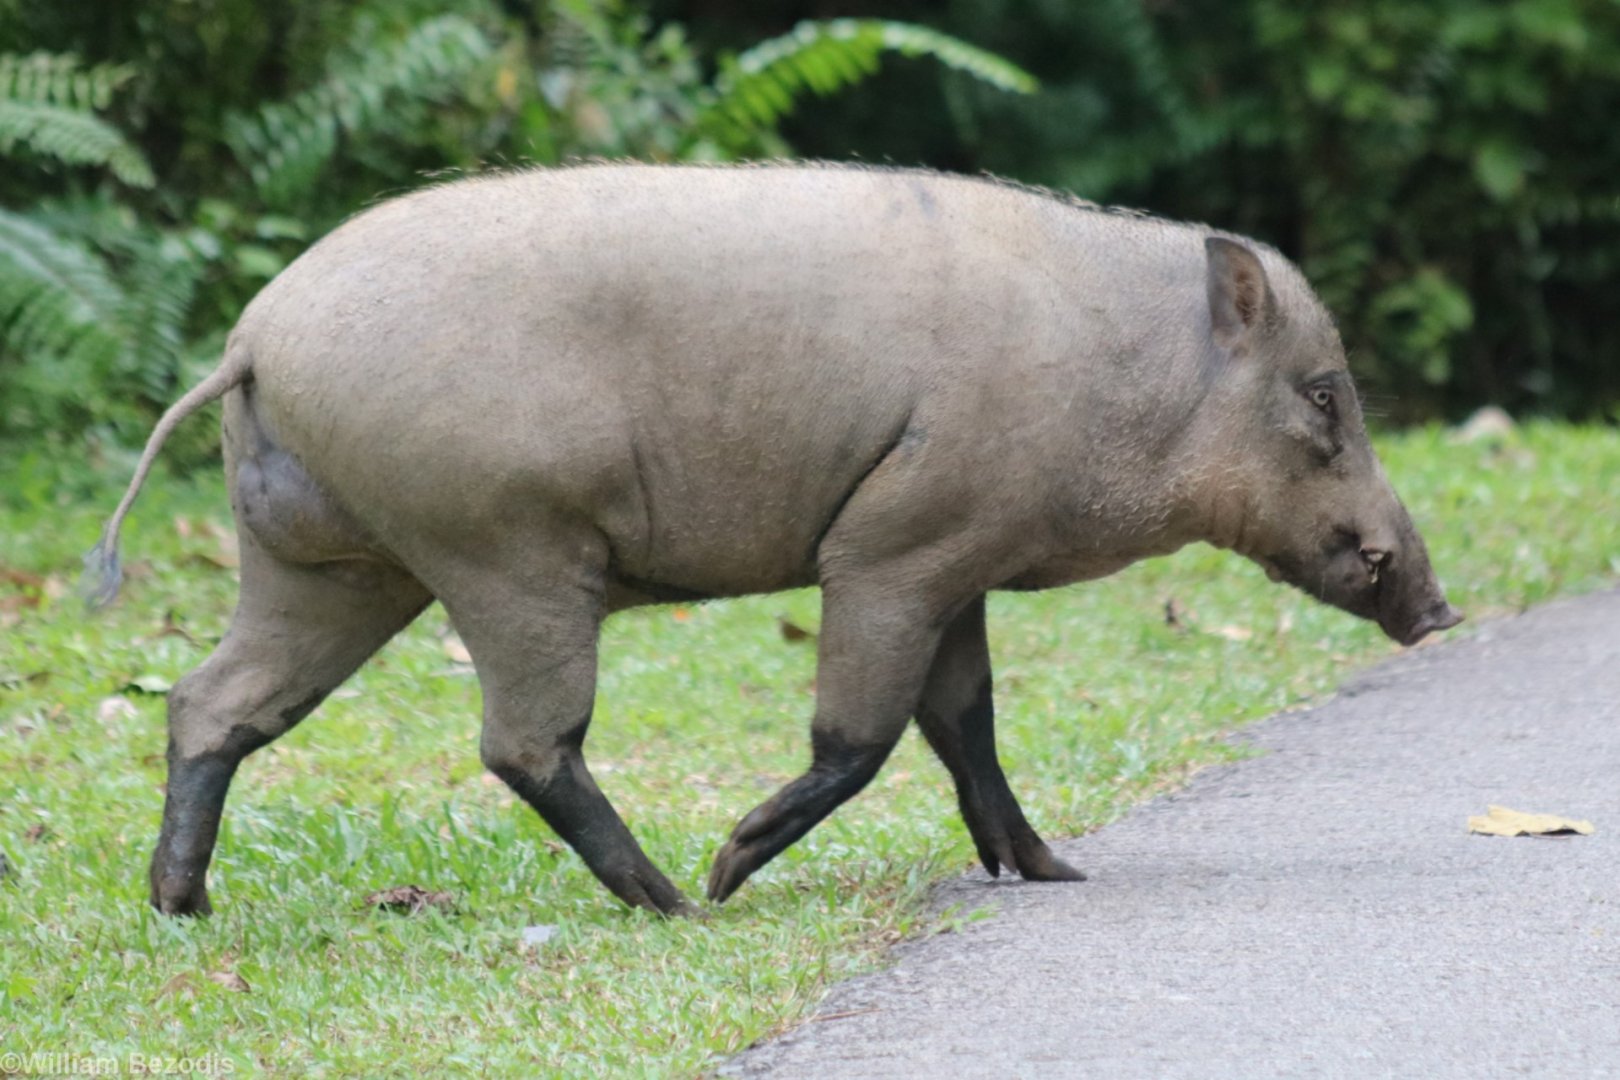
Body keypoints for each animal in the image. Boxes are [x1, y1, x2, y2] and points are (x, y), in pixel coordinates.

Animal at [89, 163, 1462, 917]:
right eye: (1325, 399)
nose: (1439, 608)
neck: (1132, 380)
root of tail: (250, 340)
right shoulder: (895, 550)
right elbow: (861, 739)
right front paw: (729, 867)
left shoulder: (956, 569)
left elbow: (966, 727)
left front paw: (1052, 873)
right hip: (506, 554)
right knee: (523, 744)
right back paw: (673, 904)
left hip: (331, 570)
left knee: (212, 704)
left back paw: (179, 908)